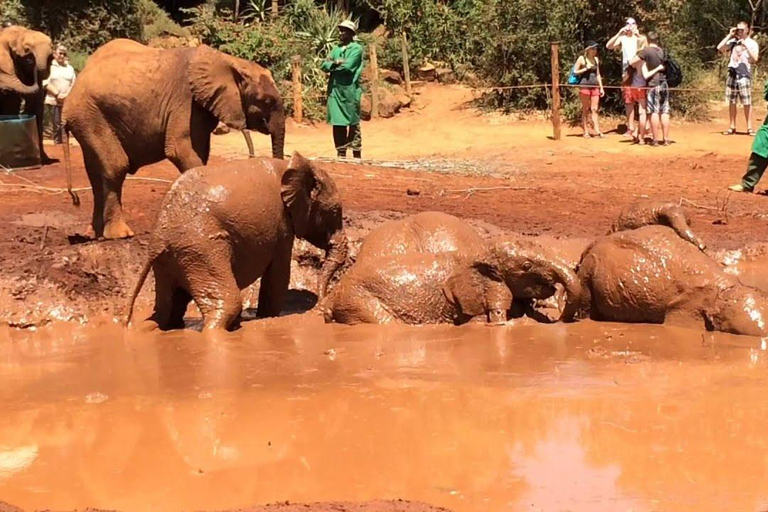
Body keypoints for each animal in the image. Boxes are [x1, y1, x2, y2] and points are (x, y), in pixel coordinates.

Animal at [62, 40, 284, 240]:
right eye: (266, 101)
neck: (228, 61)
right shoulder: (185, 101)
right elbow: (179, 150)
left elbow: (200, 153)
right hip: (89, 114)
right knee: (115, 166)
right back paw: (120, 235)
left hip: (86, 119)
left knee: (94, 172)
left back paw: (97, 235)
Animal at [126, 153, 348, 332]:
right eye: (335, 211)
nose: (321, 308)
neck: (293, 165)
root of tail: (158, 237)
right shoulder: (282, 225)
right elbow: (278, 274)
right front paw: (267, 317)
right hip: (200, 249)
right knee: (227, 304)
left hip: (171, 260)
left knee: (166, 312)